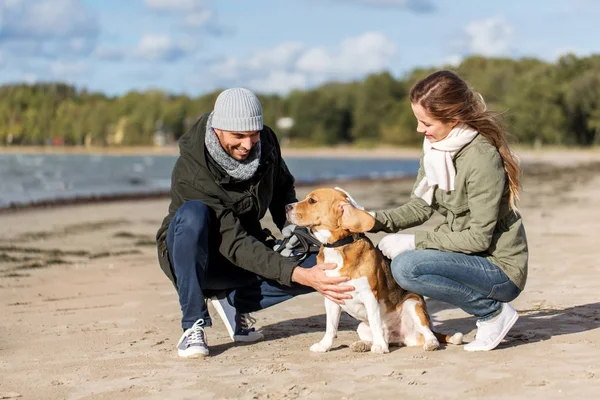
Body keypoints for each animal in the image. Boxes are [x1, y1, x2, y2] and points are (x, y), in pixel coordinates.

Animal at [286, 188, 464, 354]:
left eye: (312, 201)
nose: (286, 207)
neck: (338, 246)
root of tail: (398, 337)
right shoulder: (331, 297)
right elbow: (331, 326)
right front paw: (324, 346)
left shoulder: (370, 296)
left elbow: (375, 322)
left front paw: (379, 346)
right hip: (361, 327)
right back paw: (364, 344)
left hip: (412, 305)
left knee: (429, 333)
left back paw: (429, 343)